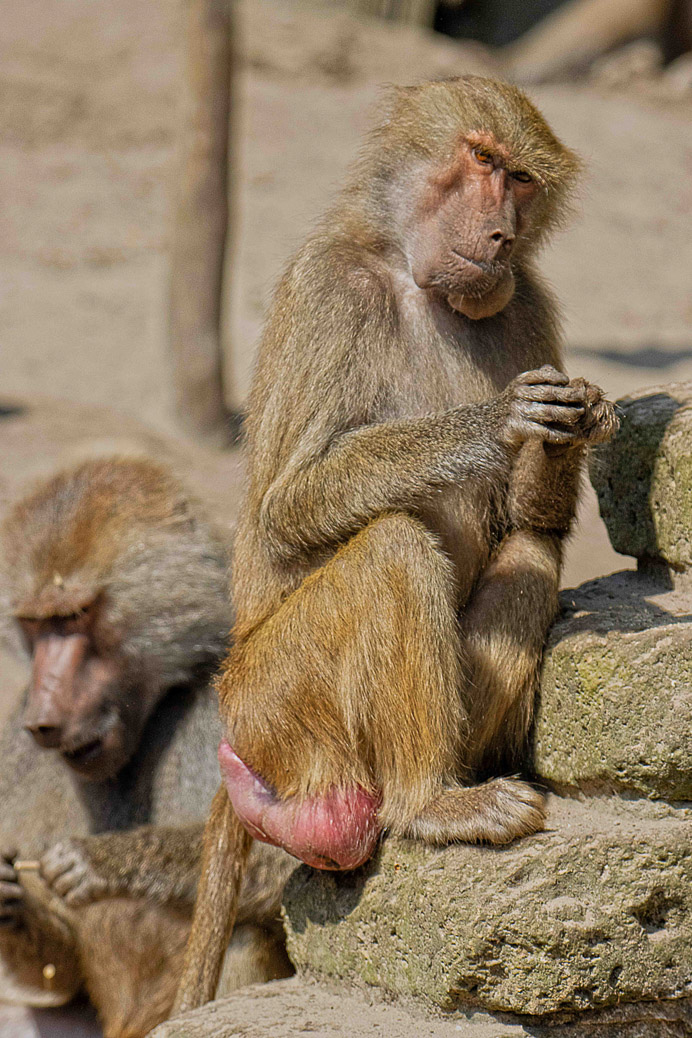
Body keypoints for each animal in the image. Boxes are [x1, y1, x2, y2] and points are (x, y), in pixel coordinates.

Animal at [0, 458, 296, 1038]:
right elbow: (59, 968)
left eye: (75, 616)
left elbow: (293, 847)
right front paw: (12, 901)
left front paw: (98, 860)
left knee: (244, 935)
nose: (42, 721)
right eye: (35, 625)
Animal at [172, 75, 618, 1013]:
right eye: (480, 159)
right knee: (394, 549)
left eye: (522, 180)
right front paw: (496, 421)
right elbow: (288, 503)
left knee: (531, 558)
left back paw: (447, 785)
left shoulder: (529, 301)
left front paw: (575, 421)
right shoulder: (328, 288)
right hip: (269, 704)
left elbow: (534, 520)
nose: (501, 235)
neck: (419, 282)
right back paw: (429, 804)